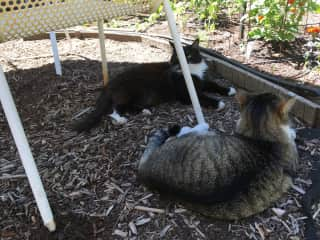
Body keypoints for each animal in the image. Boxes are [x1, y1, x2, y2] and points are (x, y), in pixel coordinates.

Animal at [72, 40, 236, 132]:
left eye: (188, 56)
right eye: (175, 58)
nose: (178, 65)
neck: (190, 71)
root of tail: (110, 84)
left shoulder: (202, 81)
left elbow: (214, 84)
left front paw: (229, 90)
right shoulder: (185, 94)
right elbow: (203, 97)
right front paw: (218, 103)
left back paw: (145, 111)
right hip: (132, 90)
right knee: (115, 108)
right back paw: (121, 119)